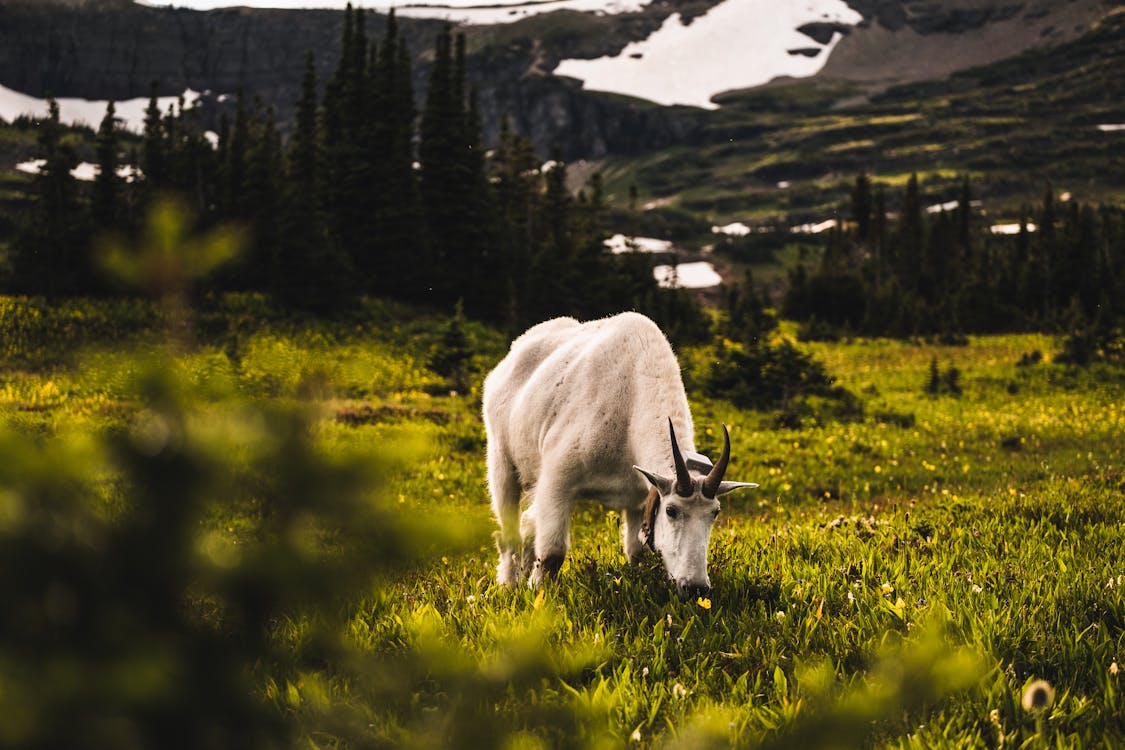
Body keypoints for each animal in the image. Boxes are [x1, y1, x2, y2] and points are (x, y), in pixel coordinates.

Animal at [483, 310, 756, 593]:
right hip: (501, 458)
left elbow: (636, 552)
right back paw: (508, 583)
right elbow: (552, 553)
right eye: (671, 510)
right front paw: (537, 592)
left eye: (715, 512)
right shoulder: (558, 478)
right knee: (508, 530)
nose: (695, 587)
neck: (631, 405)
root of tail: (509, 358)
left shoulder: (639, 498)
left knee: (527, 521)